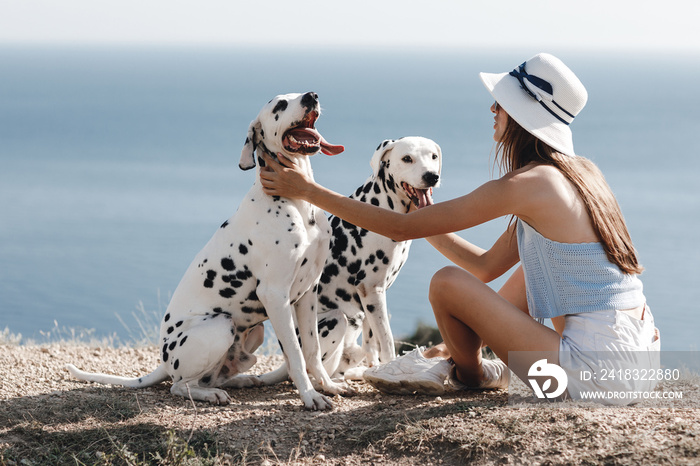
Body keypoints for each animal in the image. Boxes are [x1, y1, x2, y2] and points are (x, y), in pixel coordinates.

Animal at [65, 93, 350, 410]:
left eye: (299, 94)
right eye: (279, 105)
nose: (311, 96)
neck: (296, 201)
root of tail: (164, 361)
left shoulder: (307, 292)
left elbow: (310, 349)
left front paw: (326, 385)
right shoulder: (275, 295)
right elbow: (296, 356)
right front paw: (310, 396)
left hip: (253, 334)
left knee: (212, 376)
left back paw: (239, 380)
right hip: (220, 325)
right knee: (180, 386)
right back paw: (210, 394)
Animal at [260, 137, 440, 384]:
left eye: (433, 156)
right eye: (407, 158)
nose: (431, 176)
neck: (382, 204)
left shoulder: (370, 299)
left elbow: (372, 342)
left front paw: (376, 368)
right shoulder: (372, 290)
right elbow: (386, 341)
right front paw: (389, 367)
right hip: (335, 322)